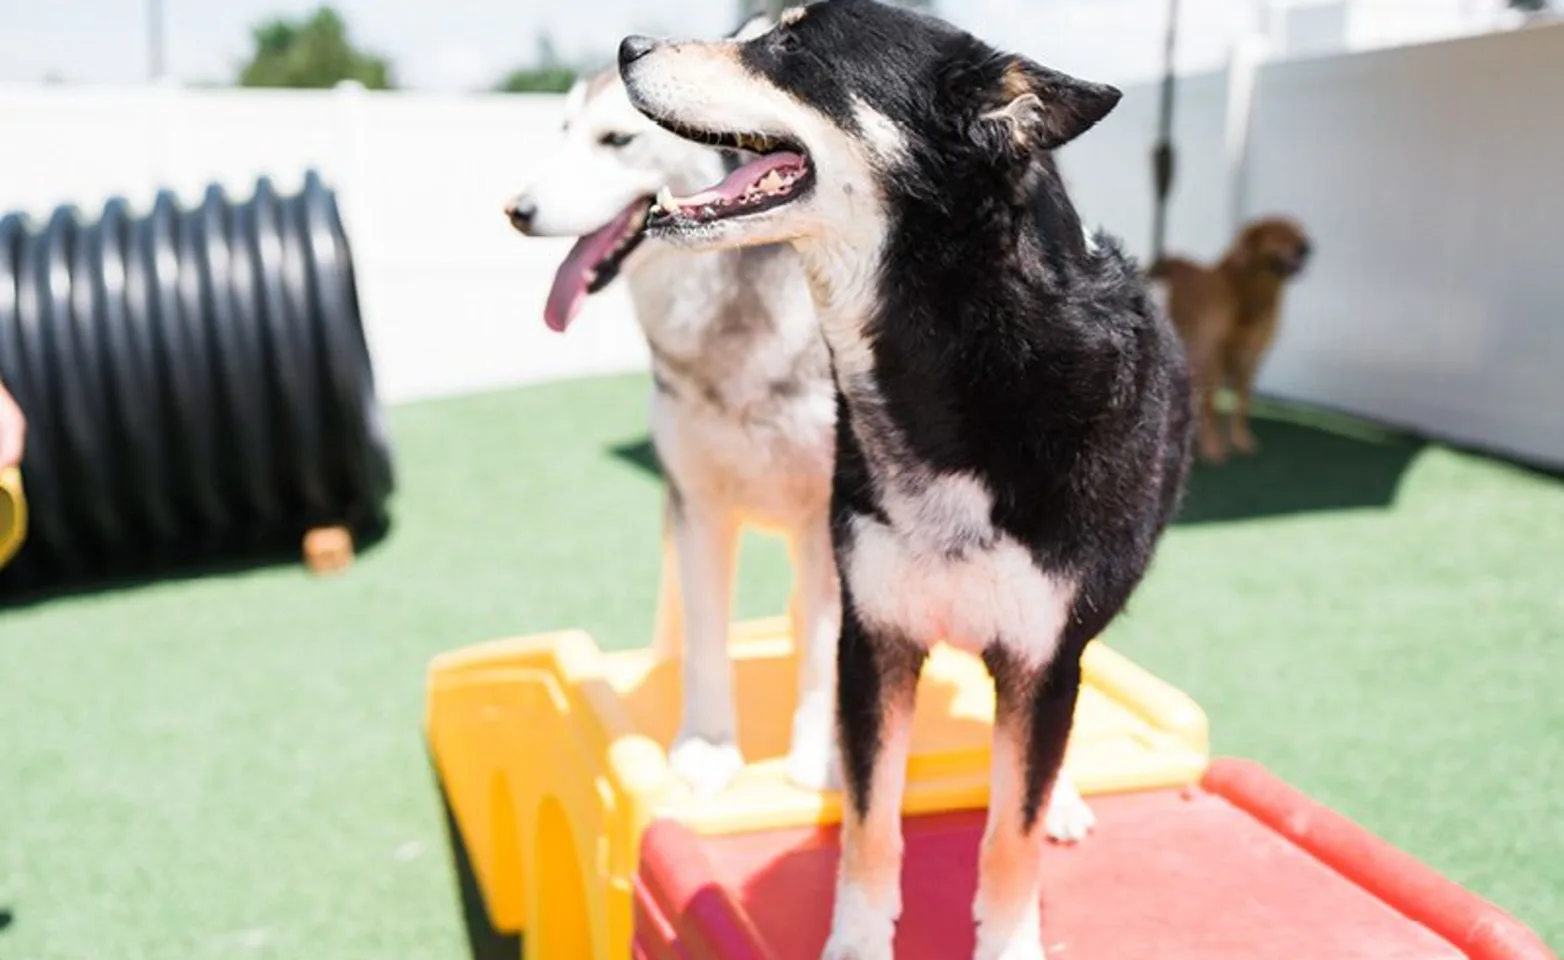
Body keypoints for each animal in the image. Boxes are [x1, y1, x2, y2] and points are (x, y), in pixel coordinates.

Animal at [616, 3, 1188, 956]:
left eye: (790, 45)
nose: (626, 46)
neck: (957, 361)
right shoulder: (872, 638)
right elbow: (871, 821)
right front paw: (857, 937)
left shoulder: (1042, 655)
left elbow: (1009, 830)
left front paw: (1010, 938)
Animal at [1151, 215, 1307, 465]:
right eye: (1280, 234)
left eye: (1300, 233)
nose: (1307, 248)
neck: (1249, 297)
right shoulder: (1213, 357)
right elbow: (1212, 406)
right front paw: (1212, 446)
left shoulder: (1250, 360)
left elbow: (1242, 403)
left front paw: (1239, 440)